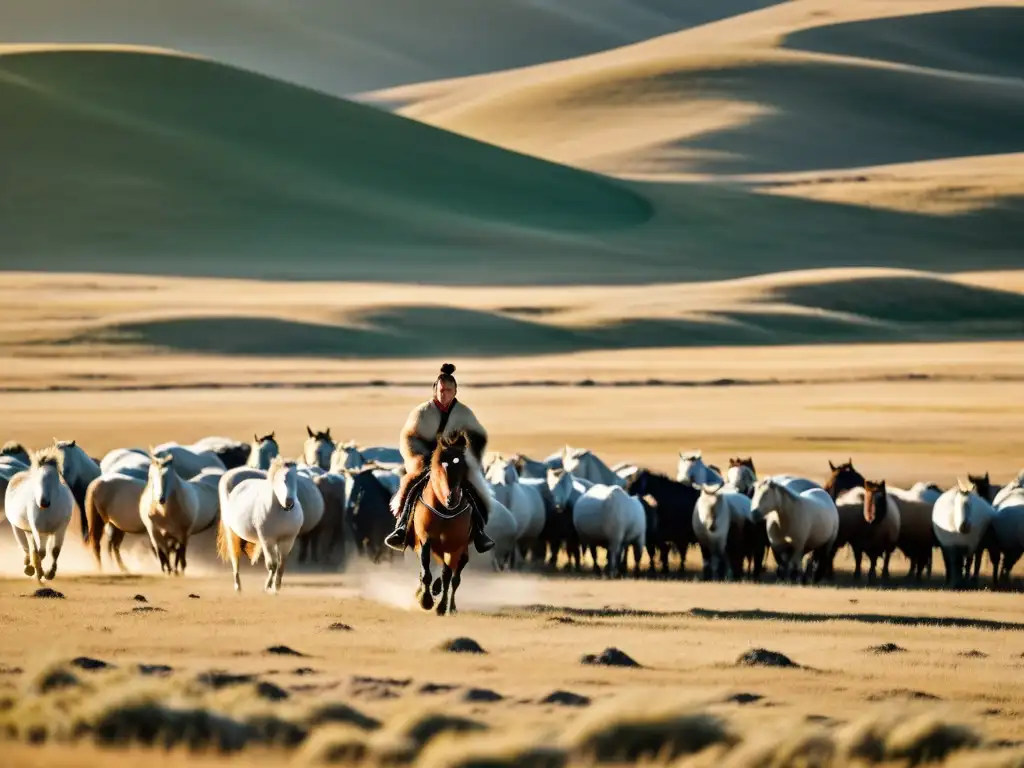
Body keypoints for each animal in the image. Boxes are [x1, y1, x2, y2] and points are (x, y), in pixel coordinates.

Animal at [4, 448, 75, 581]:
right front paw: (37, 571)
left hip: (39, 531)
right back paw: (29, 567)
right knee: (26, 547)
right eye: (37, 479)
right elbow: (39, 552)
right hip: (18, 527)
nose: (44, 502)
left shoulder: (61, 529)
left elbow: (54, 551)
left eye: (55, 478)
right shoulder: (37, 529)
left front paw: (49, 573)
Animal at [218, 456, 301, 593]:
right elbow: (272, 564)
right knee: (235, 559)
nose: (289, 502)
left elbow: (281, 566)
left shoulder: (287, 541)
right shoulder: (267, 540)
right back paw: (238, 587)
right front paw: (267, 587)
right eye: (282, 480)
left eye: (296, 479)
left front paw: (276, 589)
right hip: (231, 532)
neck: (281, 513)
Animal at [405, 434, 473, 618]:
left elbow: (447, 575)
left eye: (462, 465)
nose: (452, 499)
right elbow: (426, 572)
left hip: (462, 553)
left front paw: (441, 607)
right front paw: (425, 600)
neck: (444, 510)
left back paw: (451, 606)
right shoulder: (424, 540)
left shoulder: (454, 546)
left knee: (455, 579)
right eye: (439, 465)